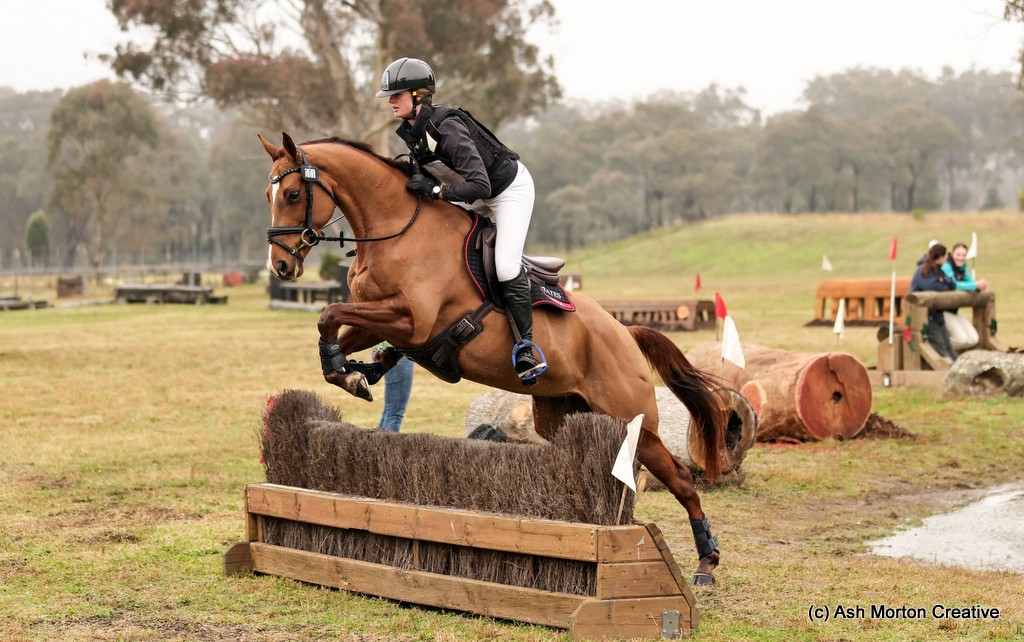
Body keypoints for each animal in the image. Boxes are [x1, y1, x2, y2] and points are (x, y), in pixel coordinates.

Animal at [259, 132, 725, 584]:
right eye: (269, 195)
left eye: (294, 194)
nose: (280, 266)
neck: (397, 229)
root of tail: (625, 333)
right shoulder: (384, 321)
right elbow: (332, 324)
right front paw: (349, 372)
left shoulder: (412, 321)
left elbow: (330, 313)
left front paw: (347, 370)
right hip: (561, 414)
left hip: (634, 419)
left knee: (682, 479)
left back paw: (706, 562)